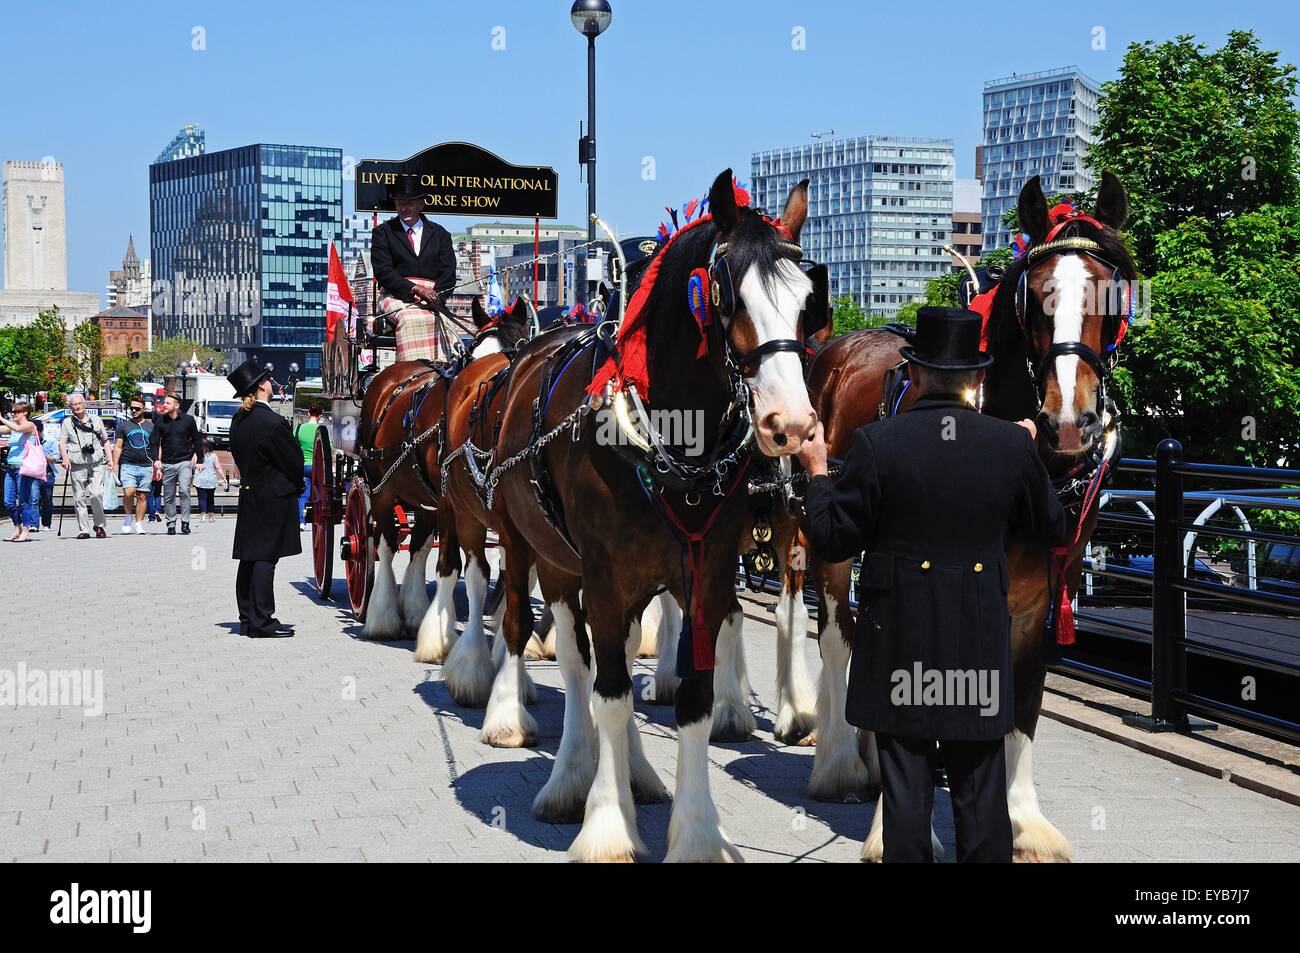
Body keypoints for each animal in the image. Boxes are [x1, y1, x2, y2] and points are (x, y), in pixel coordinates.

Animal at [356, 297, 527, 639]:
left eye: (519, 350)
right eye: (473, 356)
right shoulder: (452, 502)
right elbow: (451, 562)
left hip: (421, 494)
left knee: (418, 546)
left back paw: (414, 611)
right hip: (381, 485)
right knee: (385, 543)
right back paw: (383, 617)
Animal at [483, 171, 816, 863]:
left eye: (806, 299)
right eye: (730, 295)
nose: (792, 423)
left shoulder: (705, 572)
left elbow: (690, 698)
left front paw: (696, 831)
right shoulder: (604, 576)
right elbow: (606, 692)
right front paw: (607, 824)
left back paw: (634, 771)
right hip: (542, 556)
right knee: (565, 656)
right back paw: (564, 768)